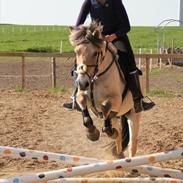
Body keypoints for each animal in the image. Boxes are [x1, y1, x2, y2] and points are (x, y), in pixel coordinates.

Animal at [68, 22, 142, 158]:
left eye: (95, 53)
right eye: (76, 52)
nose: (82, 83)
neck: (96, 76)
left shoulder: (116, 101)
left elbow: (105, 105)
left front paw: (106, 131)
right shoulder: (82, 94)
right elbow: (82, 103)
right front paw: (92, 133)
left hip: (133, 113)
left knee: (132, 143)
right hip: (118, 116)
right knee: (119, 135)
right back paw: (118, 153)